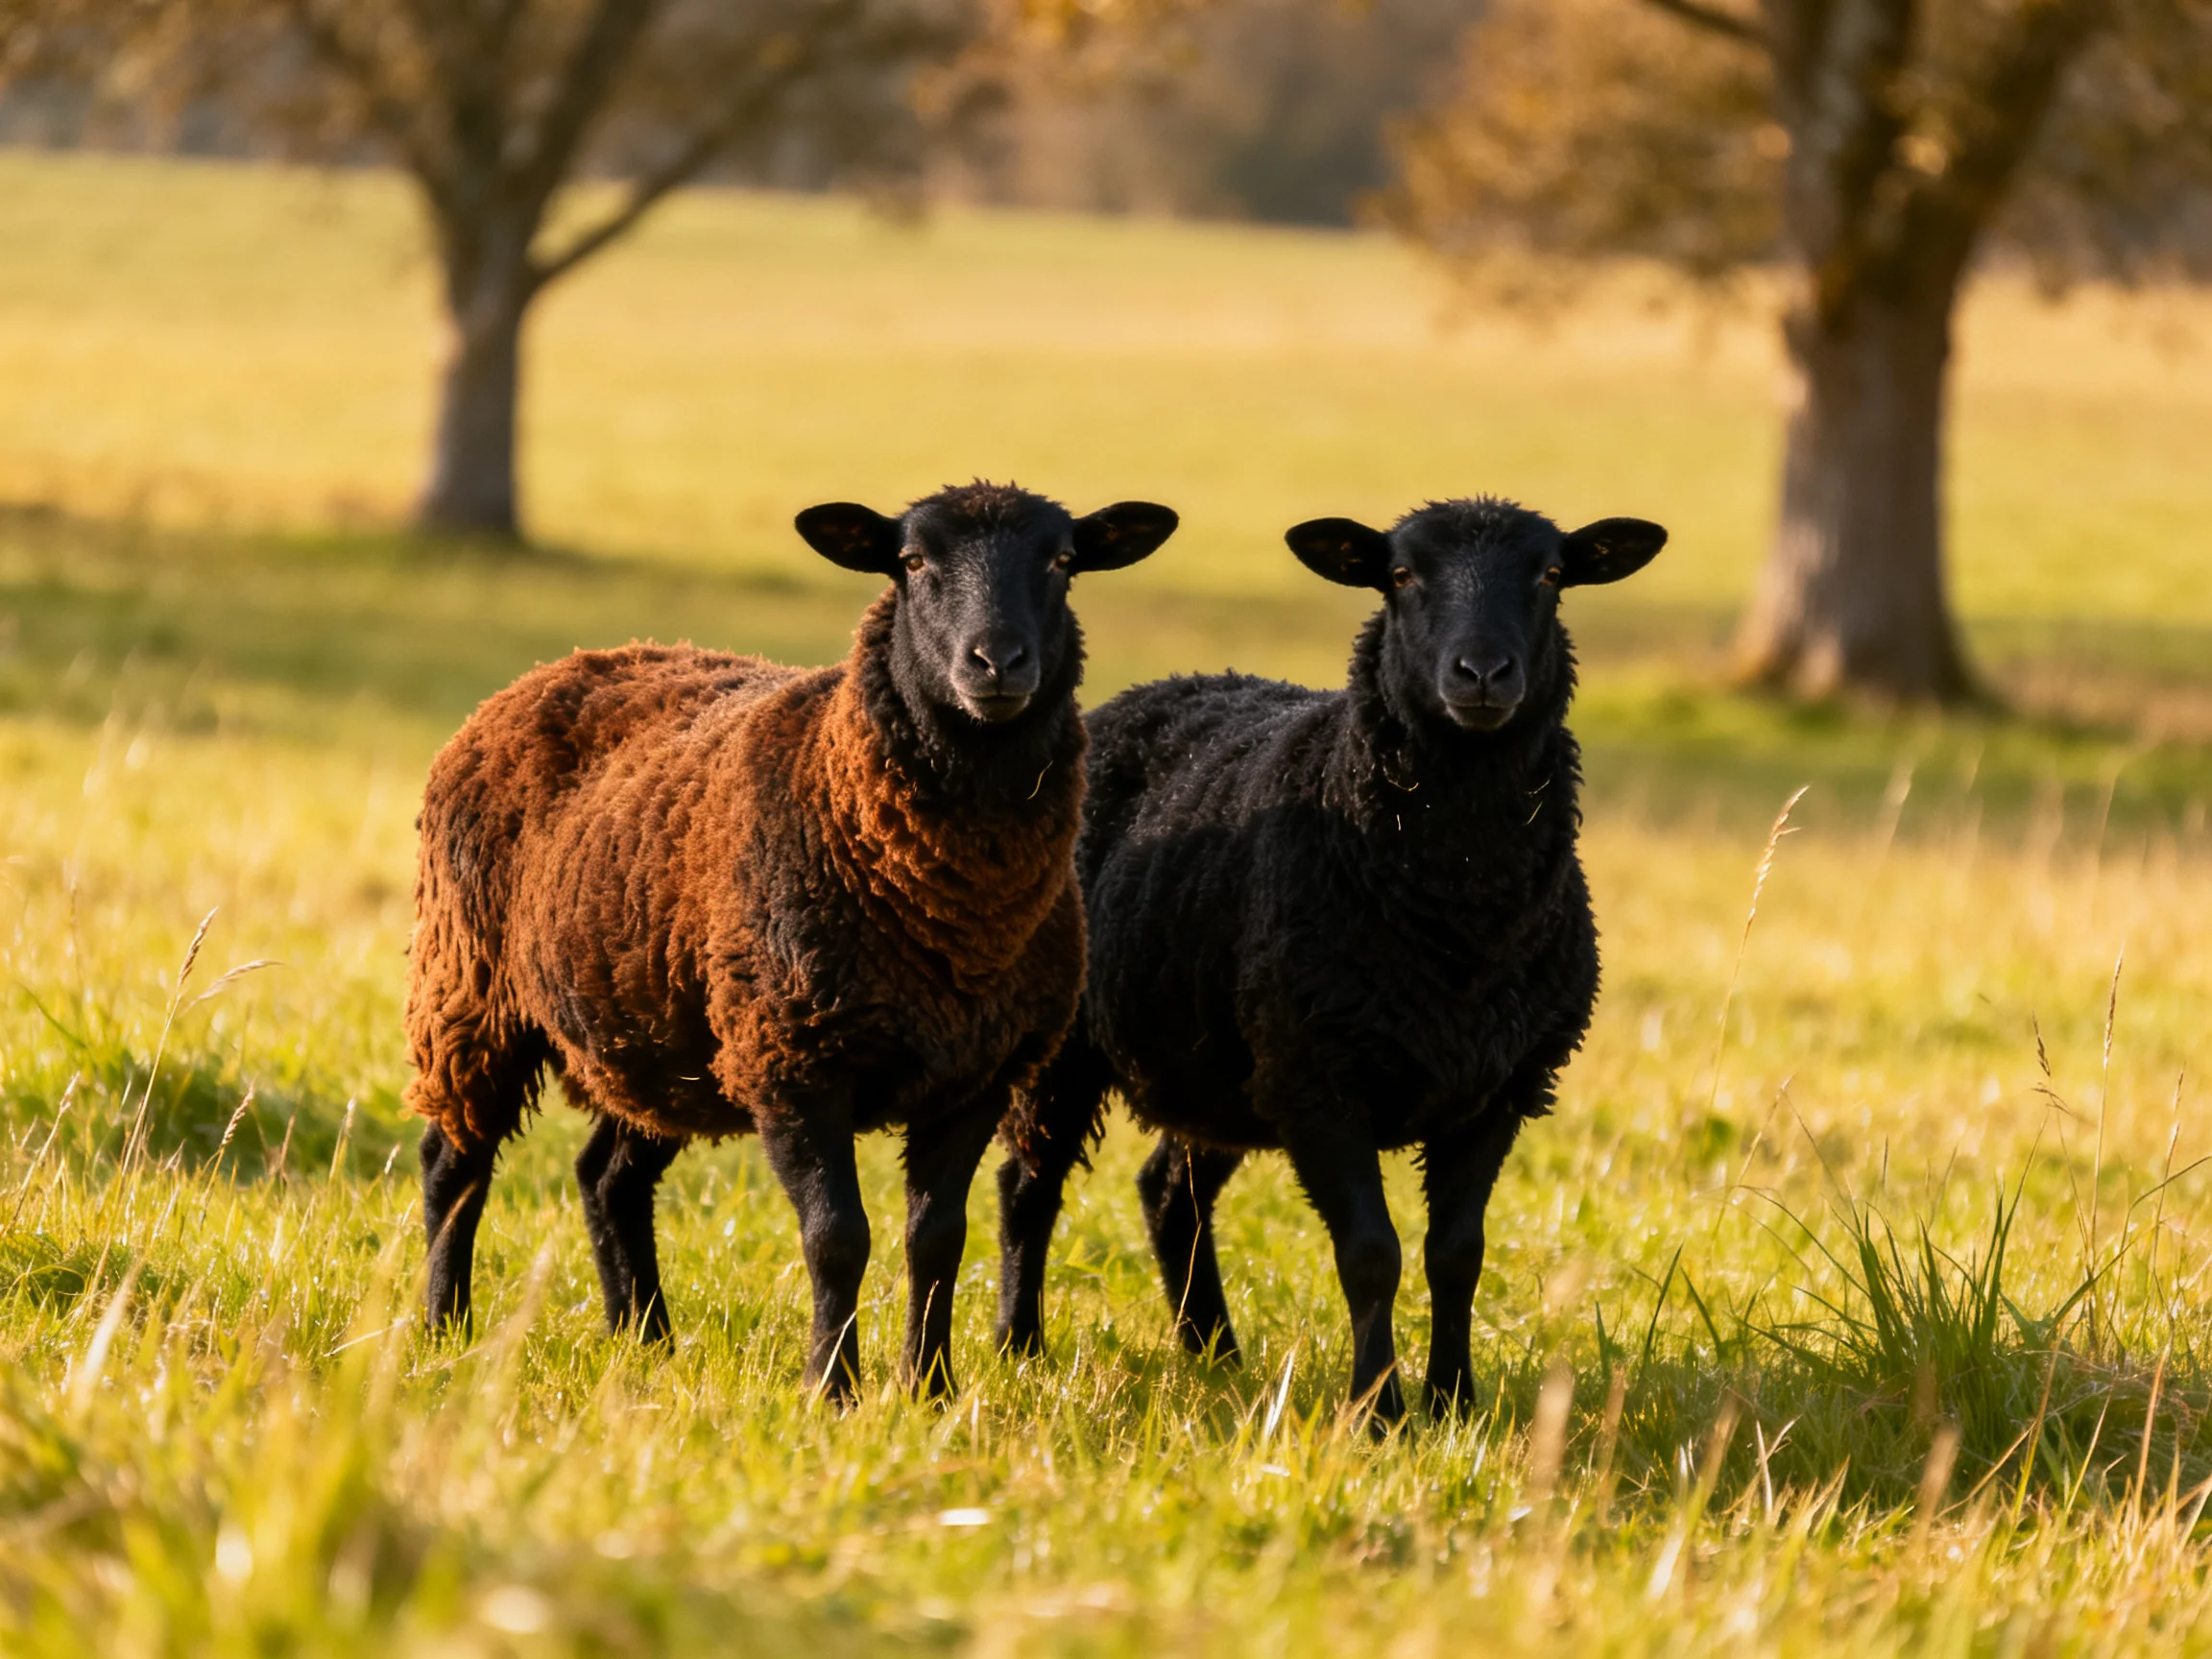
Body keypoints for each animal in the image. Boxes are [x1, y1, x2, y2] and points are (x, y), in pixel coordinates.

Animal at [404, 482, 1179, 1401]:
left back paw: (645, 1339)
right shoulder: (795, 1063)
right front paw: (831, 1390)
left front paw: (931, 1389)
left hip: (664, 1031)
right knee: (454, 1164)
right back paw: (444, 1330)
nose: (997, 663)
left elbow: (937, 1239)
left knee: (607, 1176)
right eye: (912, 562)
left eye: (1062, 561)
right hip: (472, 986)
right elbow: (837, 1238)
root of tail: (560, 666)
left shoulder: (977, 1075)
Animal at [995, 496, 1665, 1422]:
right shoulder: (1321, 1083)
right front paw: (1377, 1413)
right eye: (1402, 575)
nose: (1482, 673)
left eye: (1551, 575)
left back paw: (1216, 1356)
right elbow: (1371, 1255)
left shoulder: (1499, 1088)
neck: (1463, 911)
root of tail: (1150, 692)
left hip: (1226, 1064)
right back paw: (1019, 1346)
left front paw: (1453, 1403)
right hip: (1083, 1048)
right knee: (1030, 1183)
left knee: (1170, 1191)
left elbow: (1457, 1254)